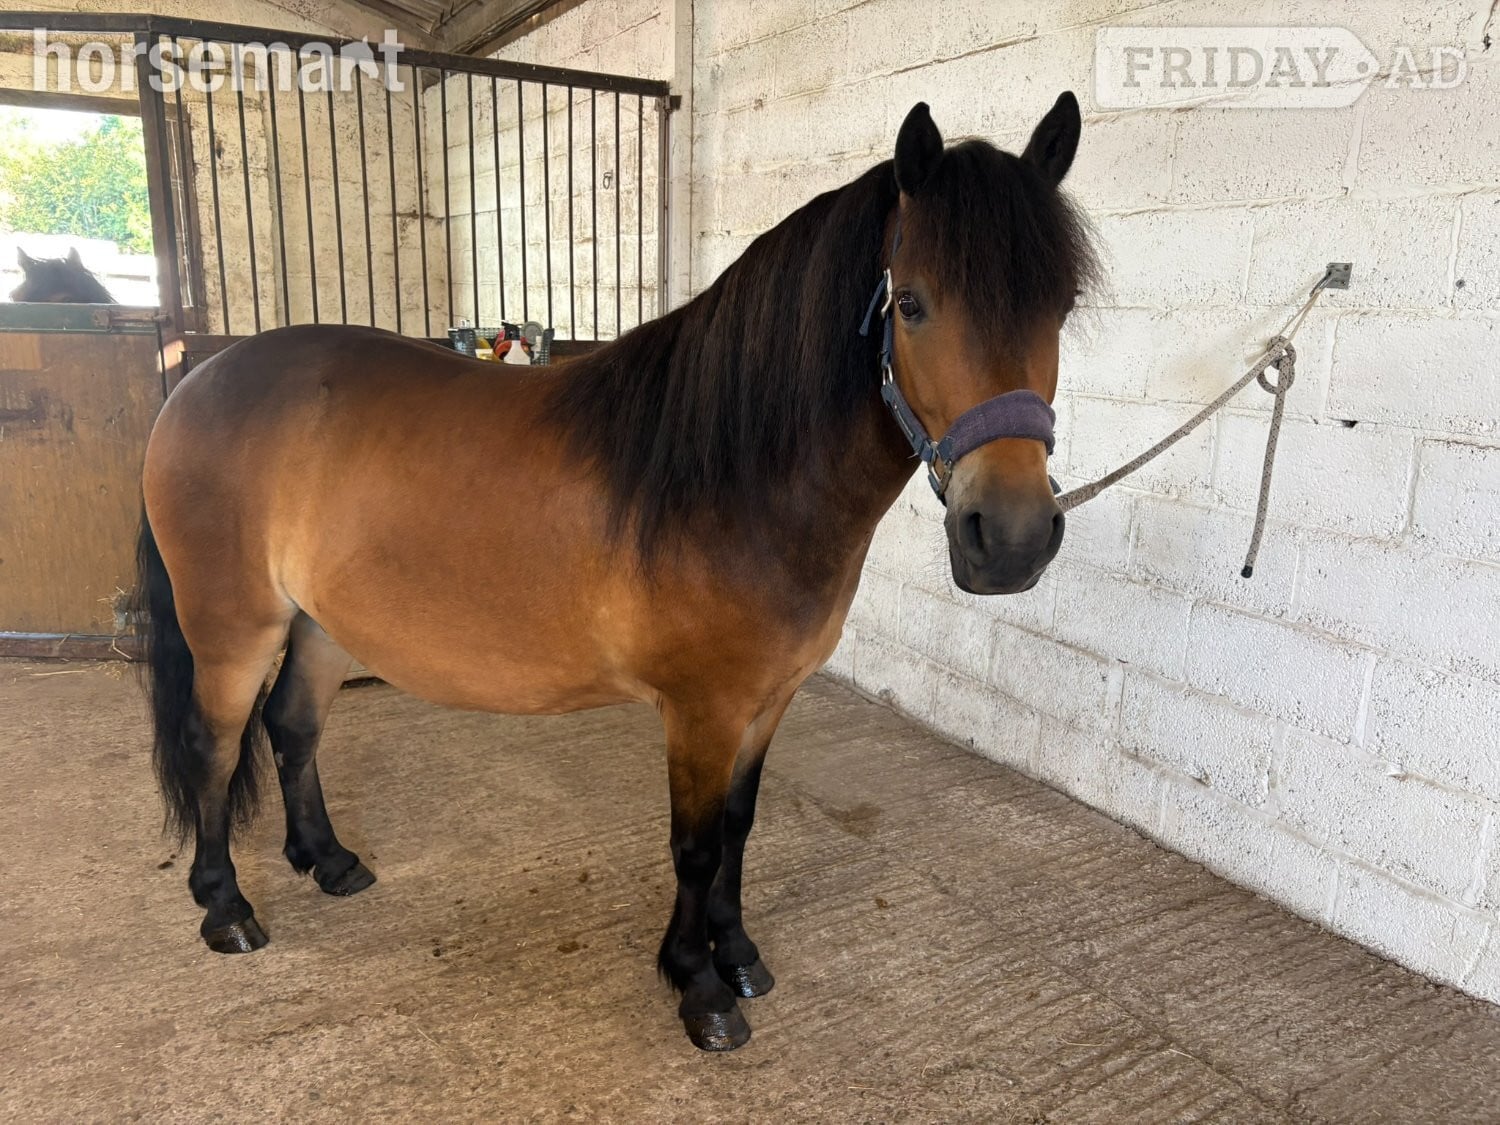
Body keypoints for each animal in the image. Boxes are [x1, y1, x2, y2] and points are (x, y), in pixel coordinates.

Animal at [134, 96, 1098, 1051]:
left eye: (1061, 306)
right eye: (911, 304)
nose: (1011, 538)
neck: (733, 474)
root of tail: (198, 379)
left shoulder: (768, 700)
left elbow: (739, 826)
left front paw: (739, 953)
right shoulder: (703, 711)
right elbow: (696, 844)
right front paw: (699, 986)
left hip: (321, 624)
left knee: (293, 728)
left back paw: (329, 861)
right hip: (233, 628)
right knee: (215, 745)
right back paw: (226, 907)